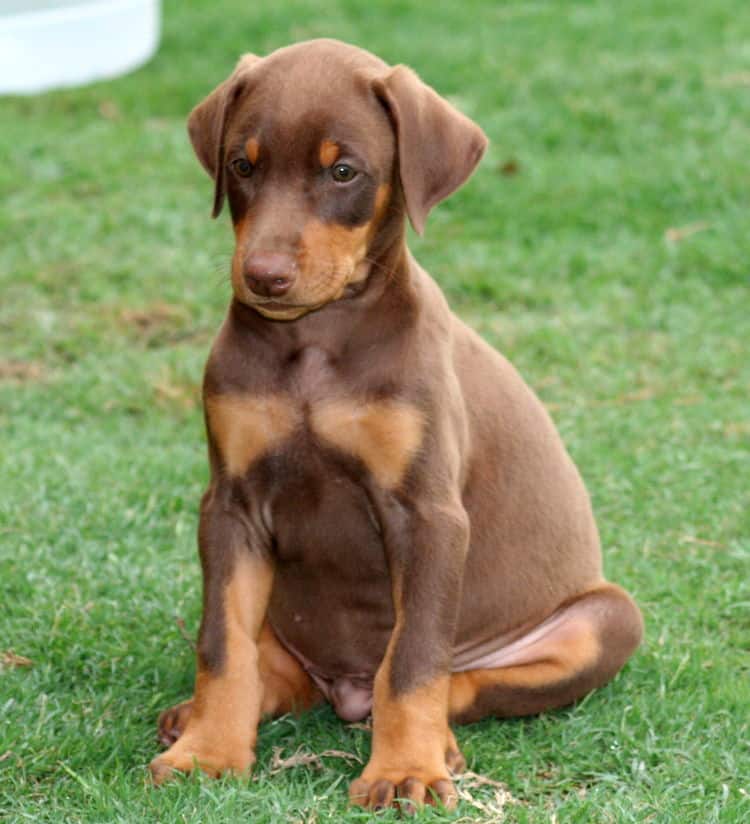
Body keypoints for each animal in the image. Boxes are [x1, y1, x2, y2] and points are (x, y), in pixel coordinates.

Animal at [151, 40, 648, 812]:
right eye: (243, 165)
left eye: (343, 171)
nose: (263, 276)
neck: (315, 344)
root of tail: (342, 693)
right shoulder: (230, 504)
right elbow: (222, 643)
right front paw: (208, 751)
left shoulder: (427, 514)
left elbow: (413, 662)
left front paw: (406, 769)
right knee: (274, 666)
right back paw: (209, 711)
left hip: (607, 619)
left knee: (456, 683)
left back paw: (436, 738)